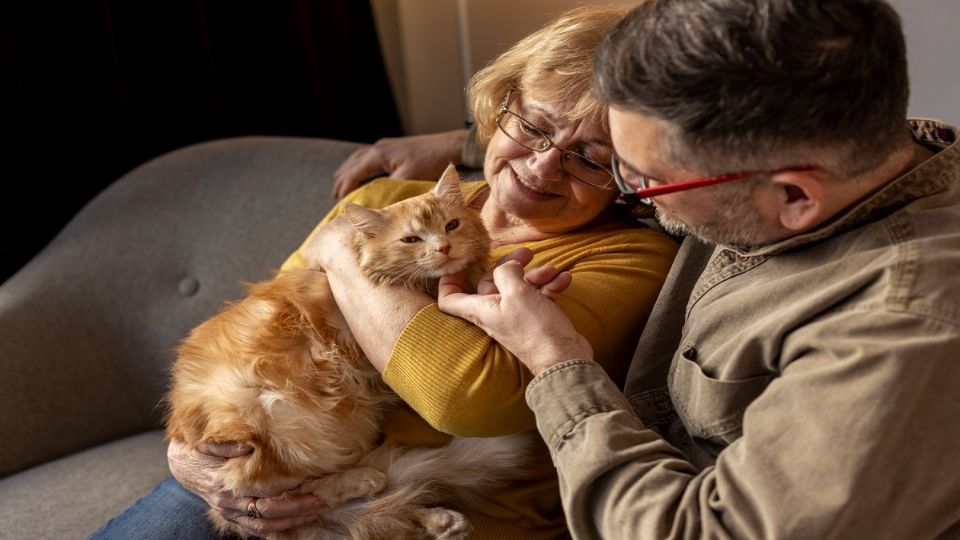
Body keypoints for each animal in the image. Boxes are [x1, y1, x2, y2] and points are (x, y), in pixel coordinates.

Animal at [164, 167, 532, 536]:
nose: (444, 247)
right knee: (289, 493)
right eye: (411, 240)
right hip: (269, 427)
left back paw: (441, 520)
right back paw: (366, 481)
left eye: (451, 225)